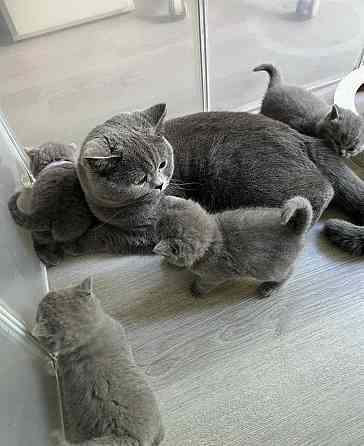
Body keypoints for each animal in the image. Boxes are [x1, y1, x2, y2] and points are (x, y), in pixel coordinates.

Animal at [32, 278, 164, 446]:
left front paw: (49, 364)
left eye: (38, 312)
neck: (90, 334)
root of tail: (138, 438)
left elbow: (57, 367)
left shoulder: (63, 364)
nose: (37, 305)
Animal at [152, 197, 312, 298]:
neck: (214, 238)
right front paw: (171, 263)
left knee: (288, 273)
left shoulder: (214, 276)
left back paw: (270, 288)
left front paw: (196, 289)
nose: (153, 245)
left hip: (271, 270)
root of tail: (294, 228)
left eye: (158, 236)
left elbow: (205, 283)